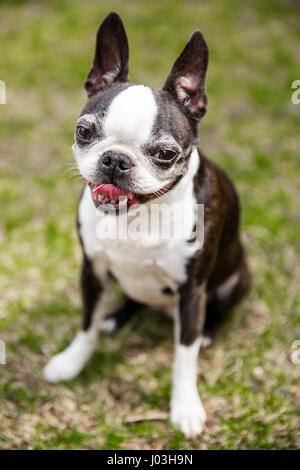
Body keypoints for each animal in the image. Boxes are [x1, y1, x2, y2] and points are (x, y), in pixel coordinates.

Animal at [44, 11, 251, 436]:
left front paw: (185, 407)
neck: (138, 218)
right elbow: (86, 324)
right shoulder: (92, 269)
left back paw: (208, 334)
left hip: (234, 281)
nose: (115, 159)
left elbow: (184, 357)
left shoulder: (192, 290)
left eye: (165, 153)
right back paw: (115, 318)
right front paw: (72, 361)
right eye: (84, 131)